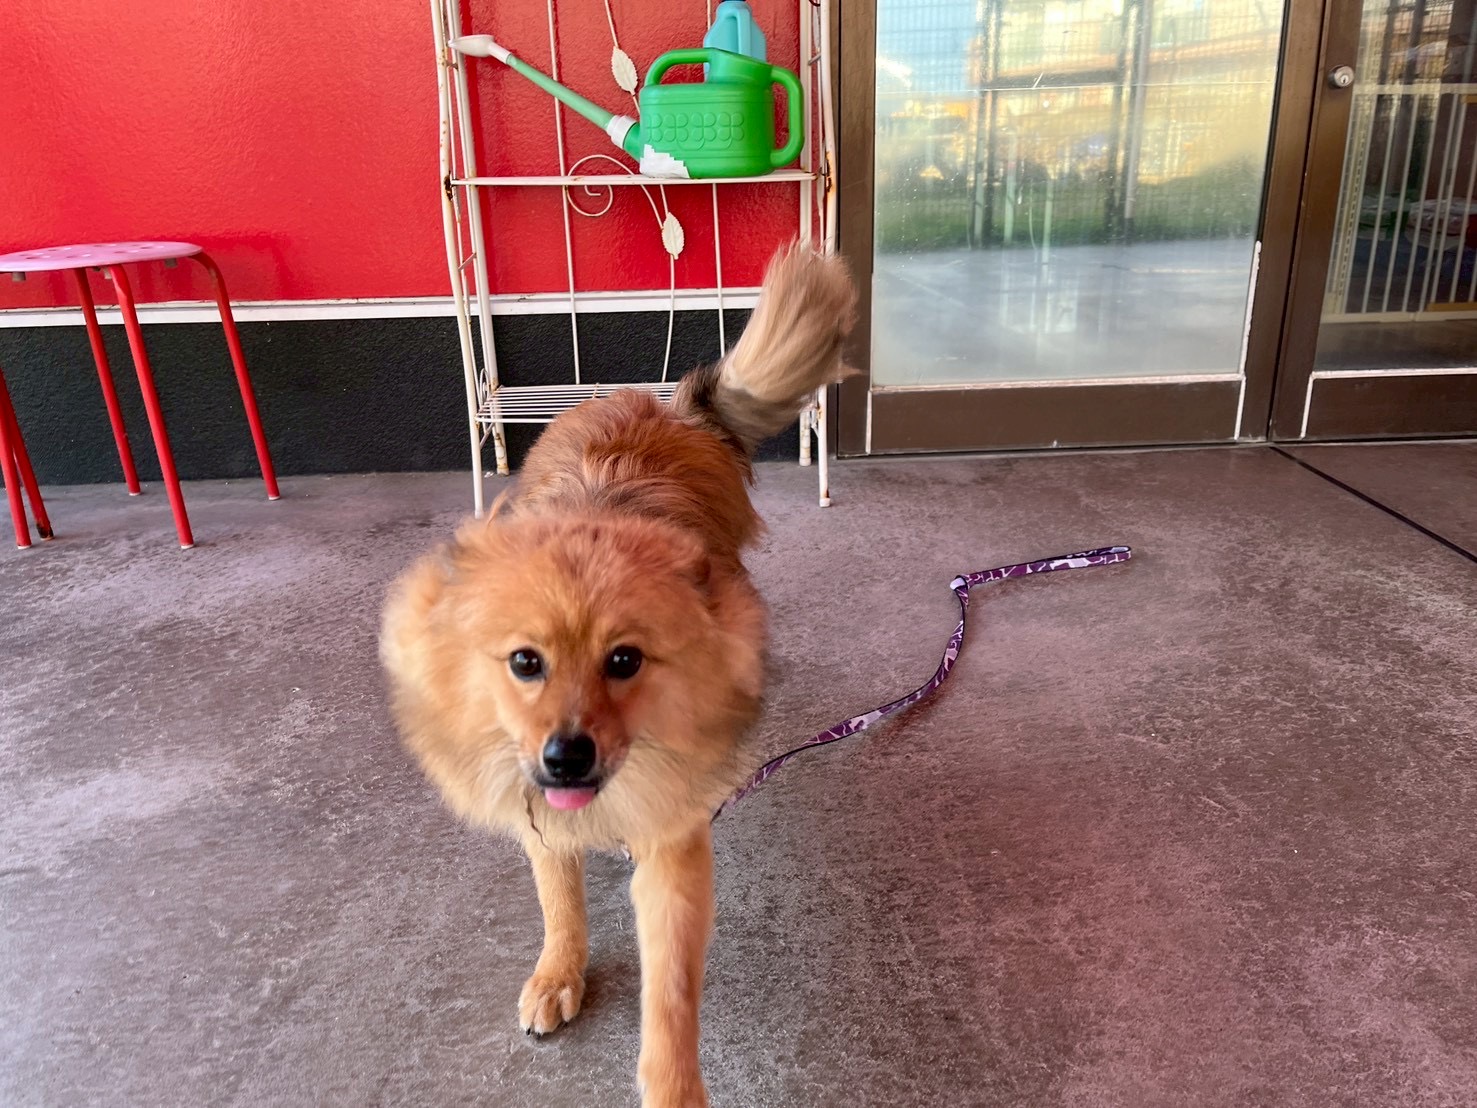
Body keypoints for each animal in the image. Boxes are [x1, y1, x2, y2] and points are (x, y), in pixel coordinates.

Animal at [379, 244, 856, 1107]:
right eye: (524, 663)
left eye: (624, 661)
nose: (567, 757)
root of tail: (663, 407)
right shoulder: (540, 810)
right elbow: (558, 899)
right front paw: (559, 971)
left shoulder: (673, 846)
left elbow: (668, 994)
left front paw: (672, 1087)